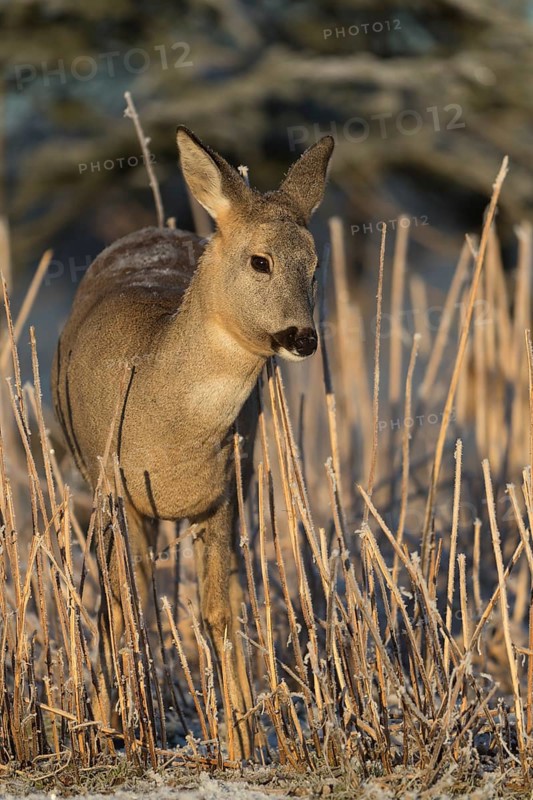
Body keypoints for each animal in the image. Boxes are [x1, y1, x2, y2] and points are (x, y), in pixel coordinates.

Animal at [51, 126, 334, 759]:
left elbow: (218, 613)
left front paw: (242, 743)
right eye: (260, 260)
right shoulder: (118, 491)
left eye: (315, 265)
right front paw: (136, 732)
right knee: (118, 599)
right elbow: (129, 605)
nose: (303, 337)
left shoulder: (223, 493)